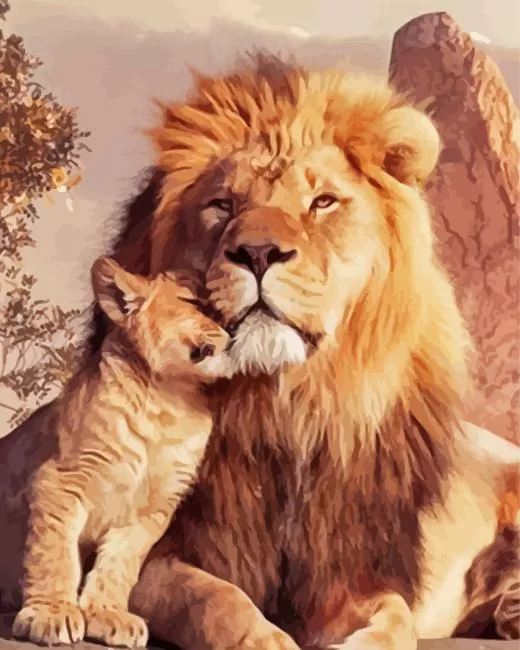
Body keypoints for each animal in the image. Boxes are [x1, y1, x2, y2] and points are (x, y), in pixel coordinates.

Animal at [5, 256, 229, 648]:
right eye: (195, 303)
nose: (233, 331)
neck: (171, 401)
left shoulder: (153, 509)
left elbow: (120, 563)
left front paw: (107, 614)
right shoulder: (60, 478)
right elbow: (54, 553)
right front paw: (51, 612)